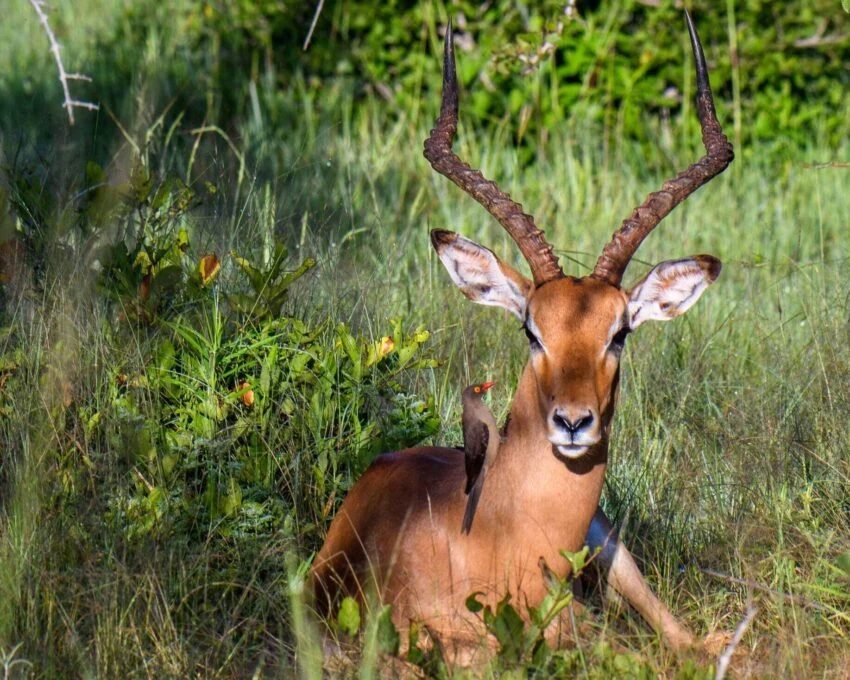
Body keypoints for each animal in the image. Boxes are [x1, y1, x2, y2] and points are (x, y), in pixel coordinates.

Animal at [311, 11, 733, 661]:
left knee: (682, 637)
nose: (573, 422)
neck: (497, 533)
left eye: (620, 333)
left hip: (613, 548)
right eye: (532, 330)